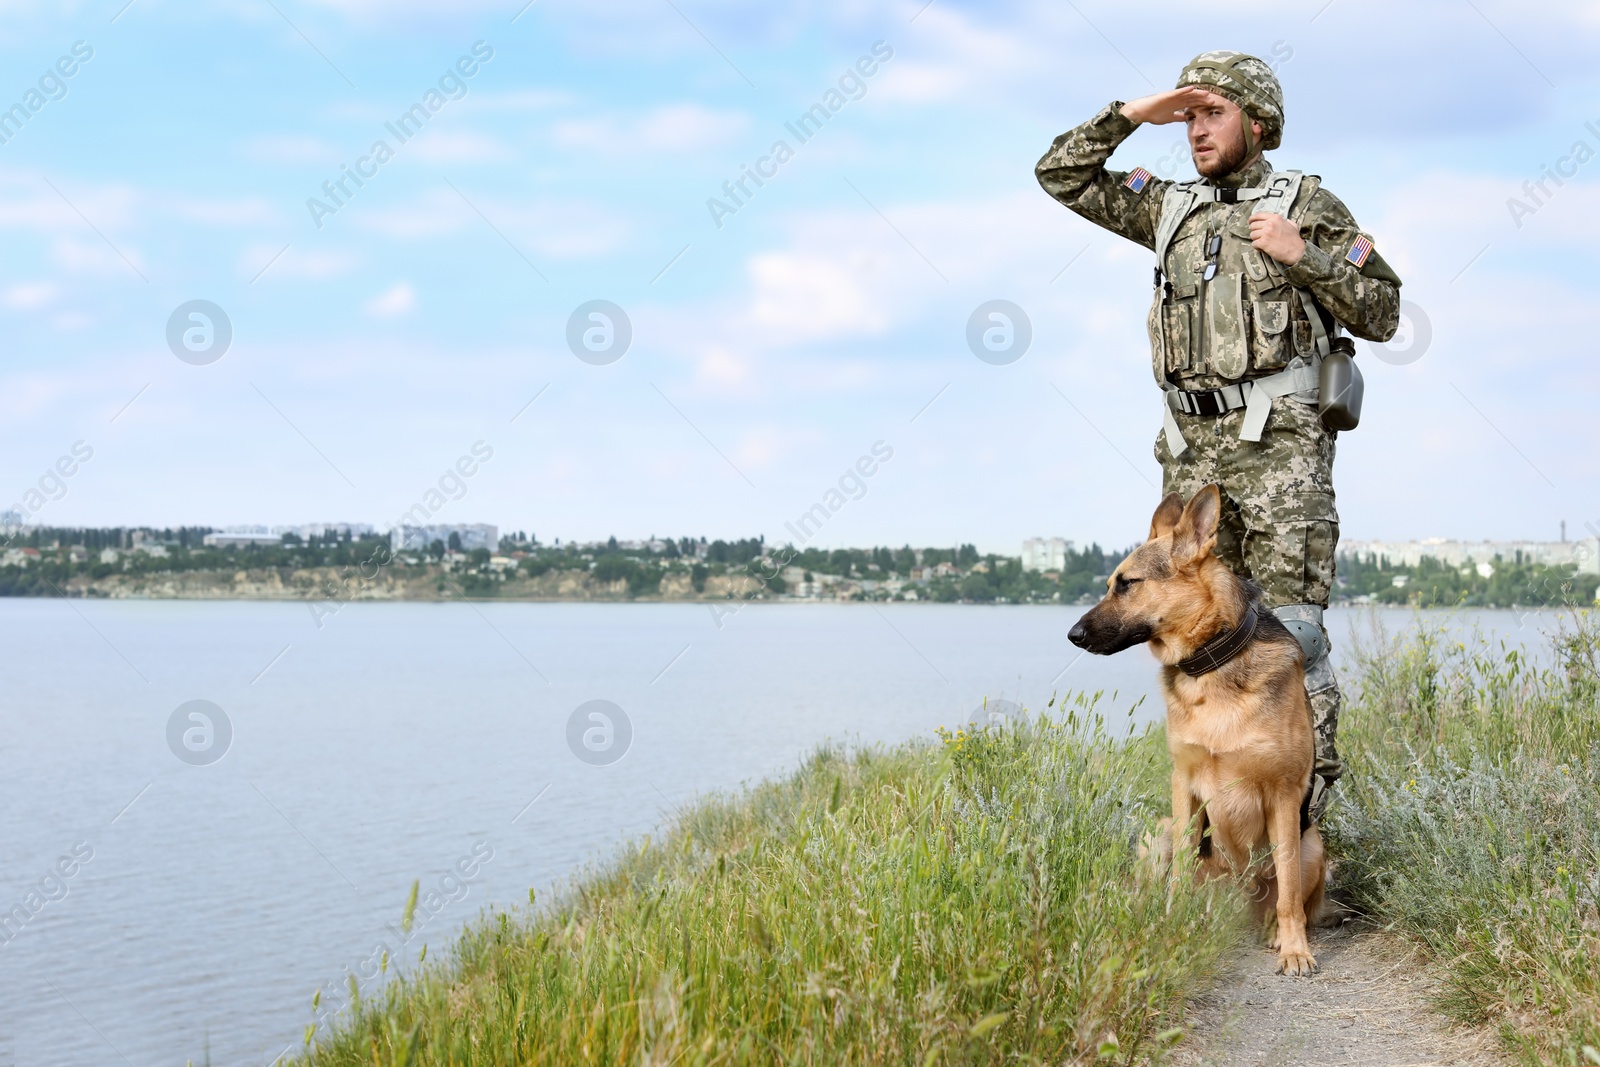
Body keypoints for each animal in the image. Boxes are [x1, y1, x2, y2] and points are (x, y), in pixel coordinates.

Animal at [1062, 483, 1324, 979]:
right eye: (1110, 585)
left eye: (1128, 584)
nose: (1073, 635)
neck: (1212, 661)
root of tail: (1237, 908)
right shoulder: (1184, 784)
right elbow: (1181, 872)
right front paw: (1171, 924)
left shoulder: (1283, 794)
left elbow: (1287, 893)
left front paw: (1295, 950)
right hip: (1159, 832)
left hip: (1313, 843)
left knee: (1288, 894)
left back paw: (1276, 934)